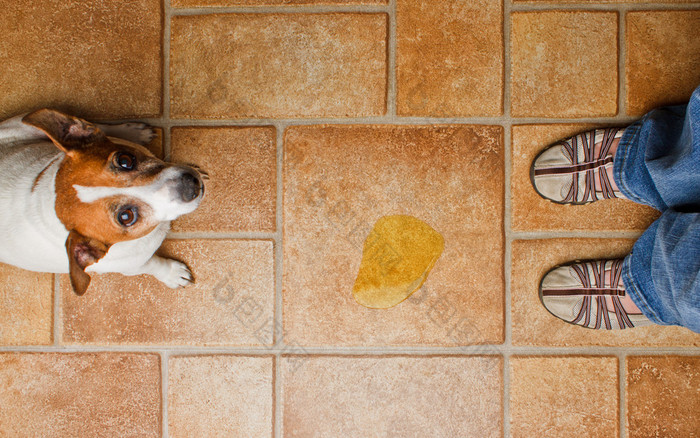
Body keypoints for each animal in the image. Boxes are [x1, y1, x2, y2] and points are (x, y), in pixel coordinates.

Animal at [0, 108, 206, 296]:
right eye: (126, 217)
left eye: (125, 160)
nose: (191, 185)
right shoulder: (132, 266)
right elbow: (155, 264)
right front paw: (172, 274)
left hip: (22, 124)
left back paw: (132, 132)